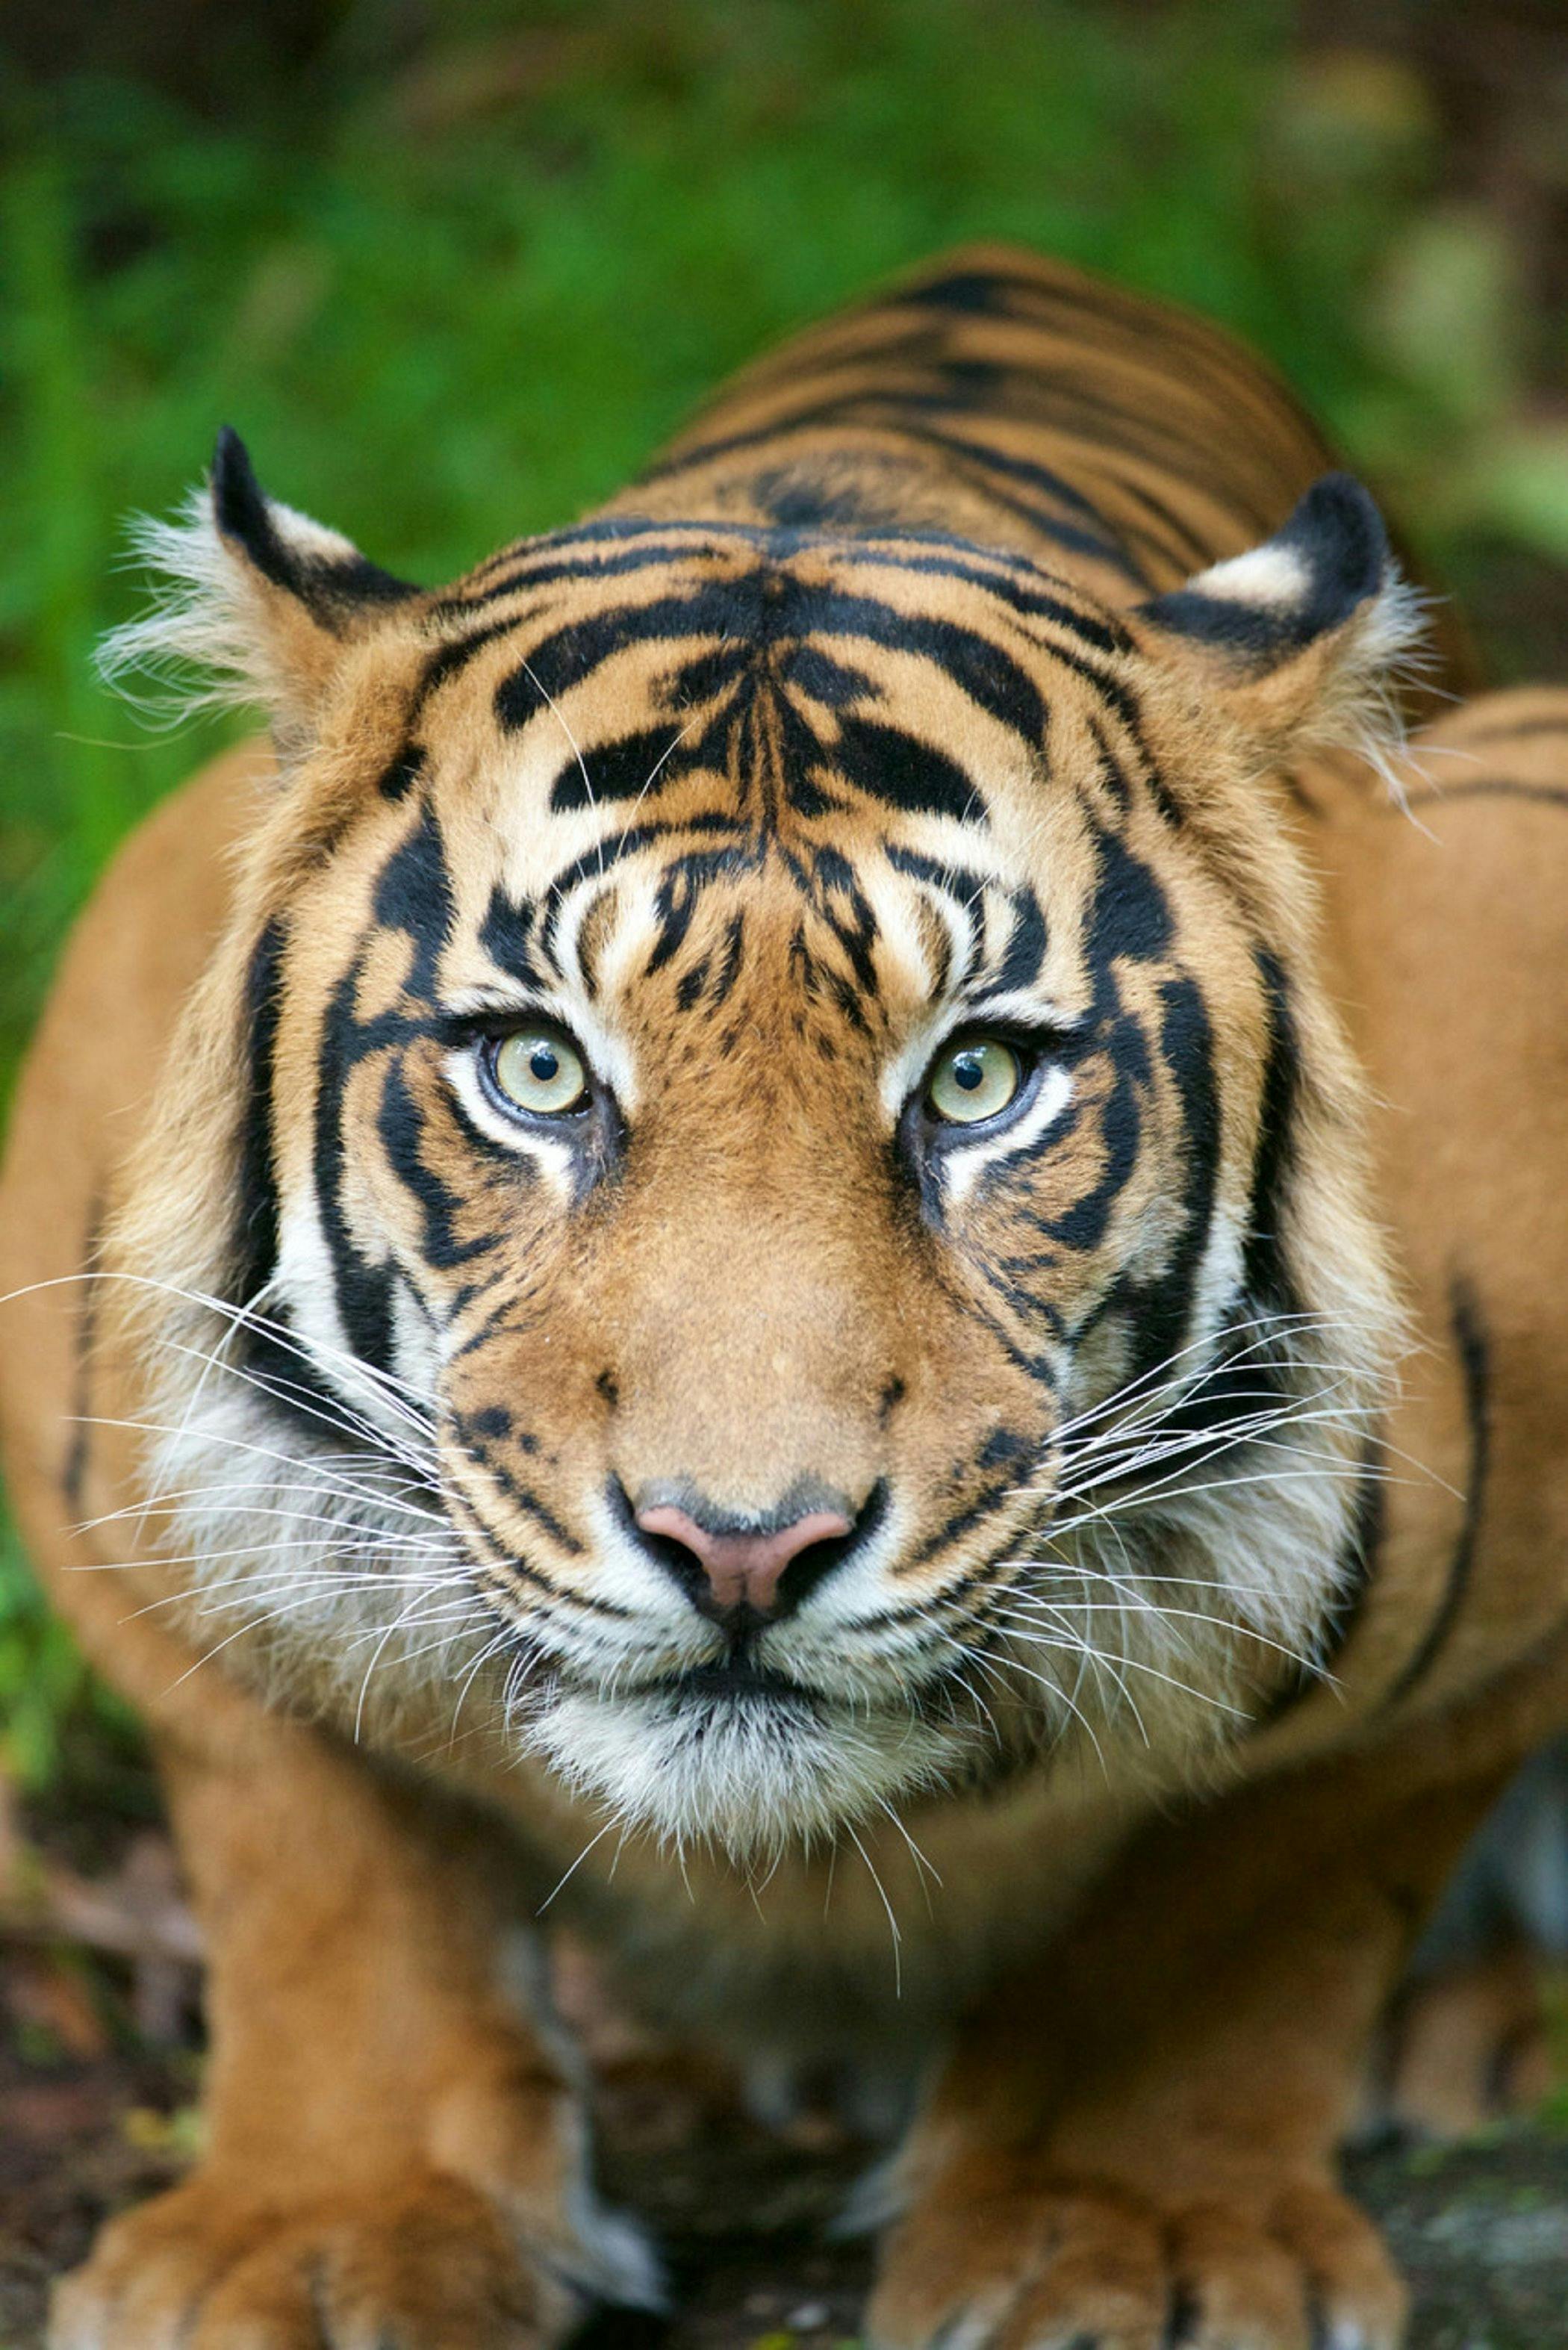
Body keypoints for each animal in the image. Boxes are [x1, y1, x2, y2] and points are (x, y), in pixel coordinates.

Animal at [4, 241, 1568, 2350]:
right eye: (539, 1069)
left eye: (978, 1080)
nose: (743, 1548)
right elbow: (314, 1846)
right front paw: (323, 2233)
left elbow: (1259, 1895)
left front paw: (1131, 2227)